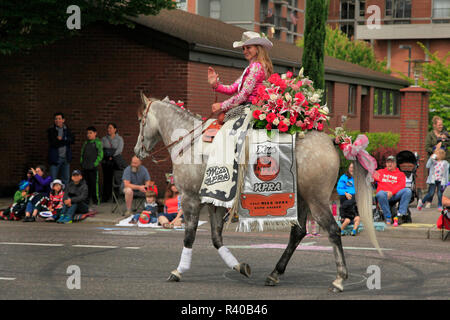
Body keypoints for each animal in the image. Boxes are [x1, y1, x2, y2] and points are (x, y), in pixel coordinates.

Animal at [134, 93, 380, 292]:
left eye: (140, 120)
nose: (137, 150)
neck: (190, 143)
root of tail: (331, 141)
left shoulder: (190, 198)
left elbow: (189, 235)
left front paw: (178, 270)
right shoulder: (215, 200)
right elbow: (216, 238)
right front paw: (239, 266)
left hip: (316, 201)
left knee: (333, 231)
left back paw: (339, 280)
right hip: (300, 200)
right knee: (298, 233)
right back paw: (274, 274)